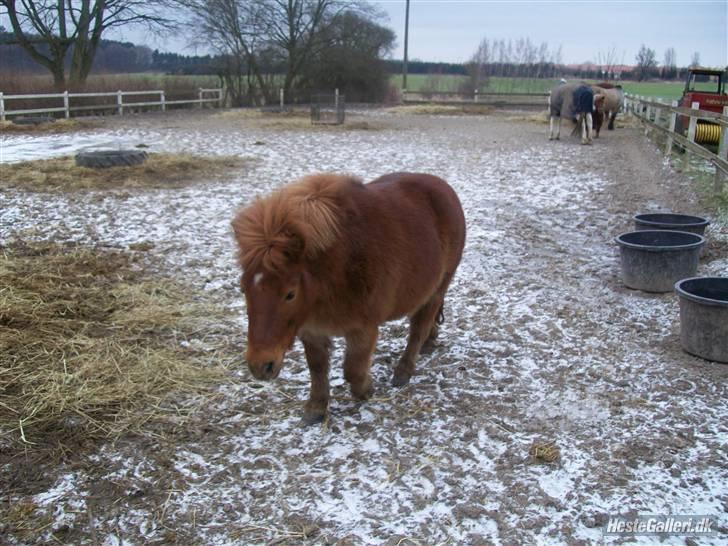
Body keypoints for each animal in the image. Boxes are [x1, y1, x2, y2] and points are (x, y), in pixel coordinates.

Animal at [233, 172, 466, 422]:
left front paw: (366, 390)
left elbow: (353, 369)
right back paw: (430, 341)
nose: (260, 366)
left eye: (290, 294)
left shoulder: (363, 328)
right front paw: (316, 407)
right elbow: (317, 367)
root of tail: (441, 185)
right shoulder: (311, 330)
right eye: (243, 289)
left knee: (418, 328)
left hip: (439, 287)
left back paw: (404, 370)